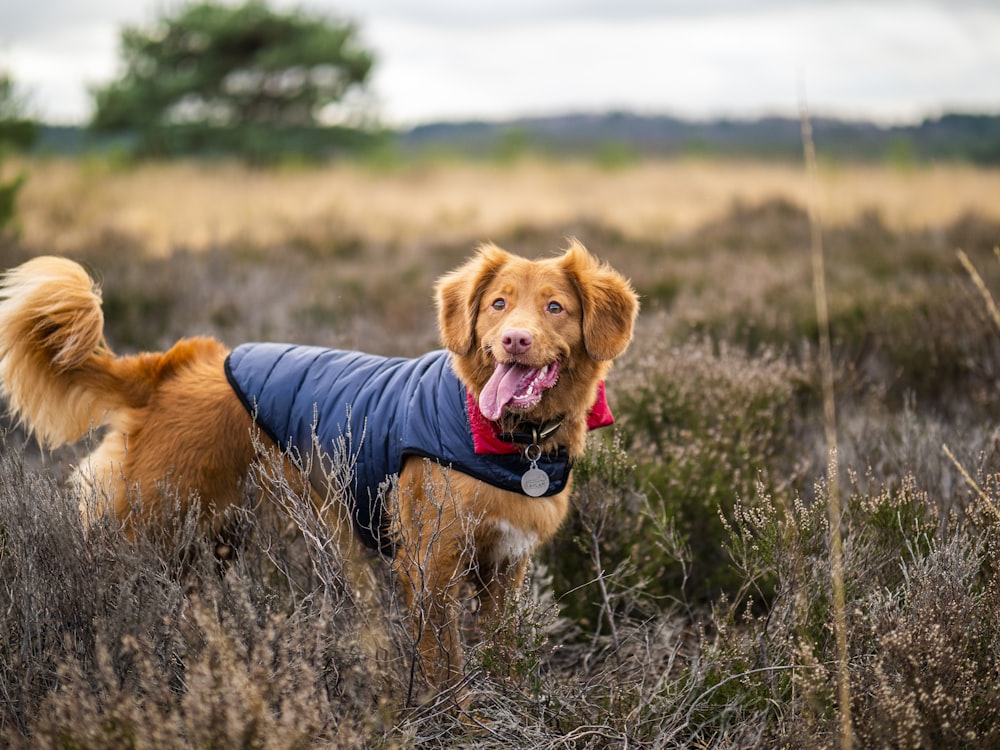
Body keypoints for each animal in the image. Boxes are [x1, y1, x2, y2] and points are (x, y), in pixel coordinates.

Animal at [0, 244, 640, 704]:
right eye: (498, 305)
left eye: (555, 307)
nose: (515, 340)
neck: (504, 439)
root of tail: (171, 367)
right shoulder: (429, 567)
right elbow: (446, 663)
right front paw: (458, 720)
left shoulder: (506, 568)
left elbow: (502, 652)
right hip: (150, 525)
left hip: (215, 539)